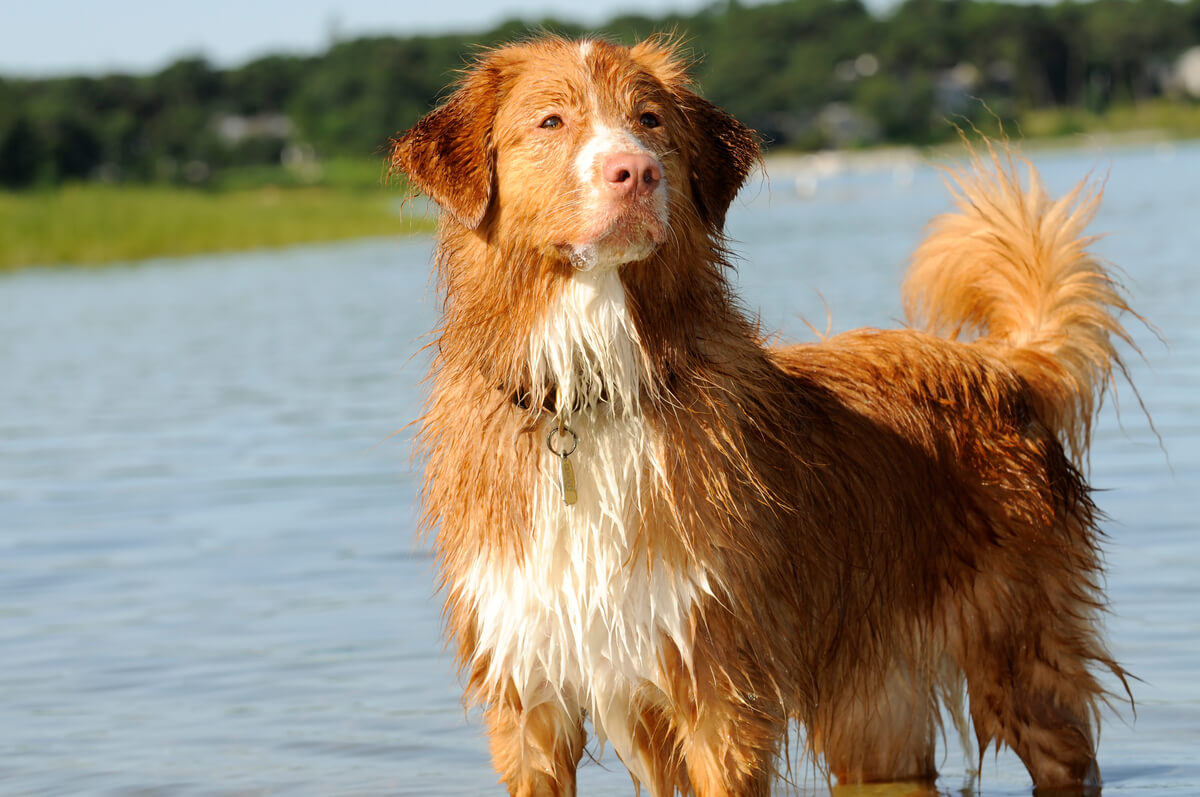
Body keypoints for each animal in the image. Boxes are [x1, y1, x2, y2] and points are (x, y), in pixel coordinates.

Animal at [391, 35, 1132, 797]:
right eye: (550, 122)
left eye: (651, 120)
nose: (637, 172)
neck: (591, 390)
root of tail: (1000, 365)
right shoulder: (530, 697)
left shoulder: (719, 682)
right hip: (877, 701)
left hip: (1020, 653)